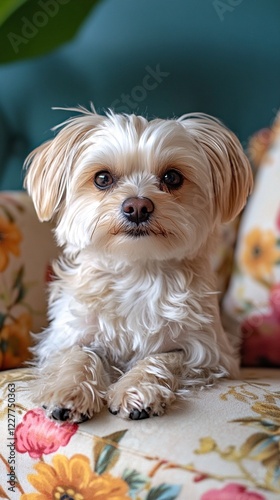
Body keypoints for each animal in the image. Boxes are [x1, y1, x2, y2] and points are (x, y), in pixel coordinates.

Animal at [24, 106, 253, 422]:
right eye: (103, 178)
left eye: (172, 177)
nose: (137, 207)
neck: (137, 269)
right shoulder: (64, 337)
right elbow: (78, 354)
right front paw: (68, 391)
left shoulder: (208, 352)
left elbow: (163, 357)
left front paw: (136, 390)